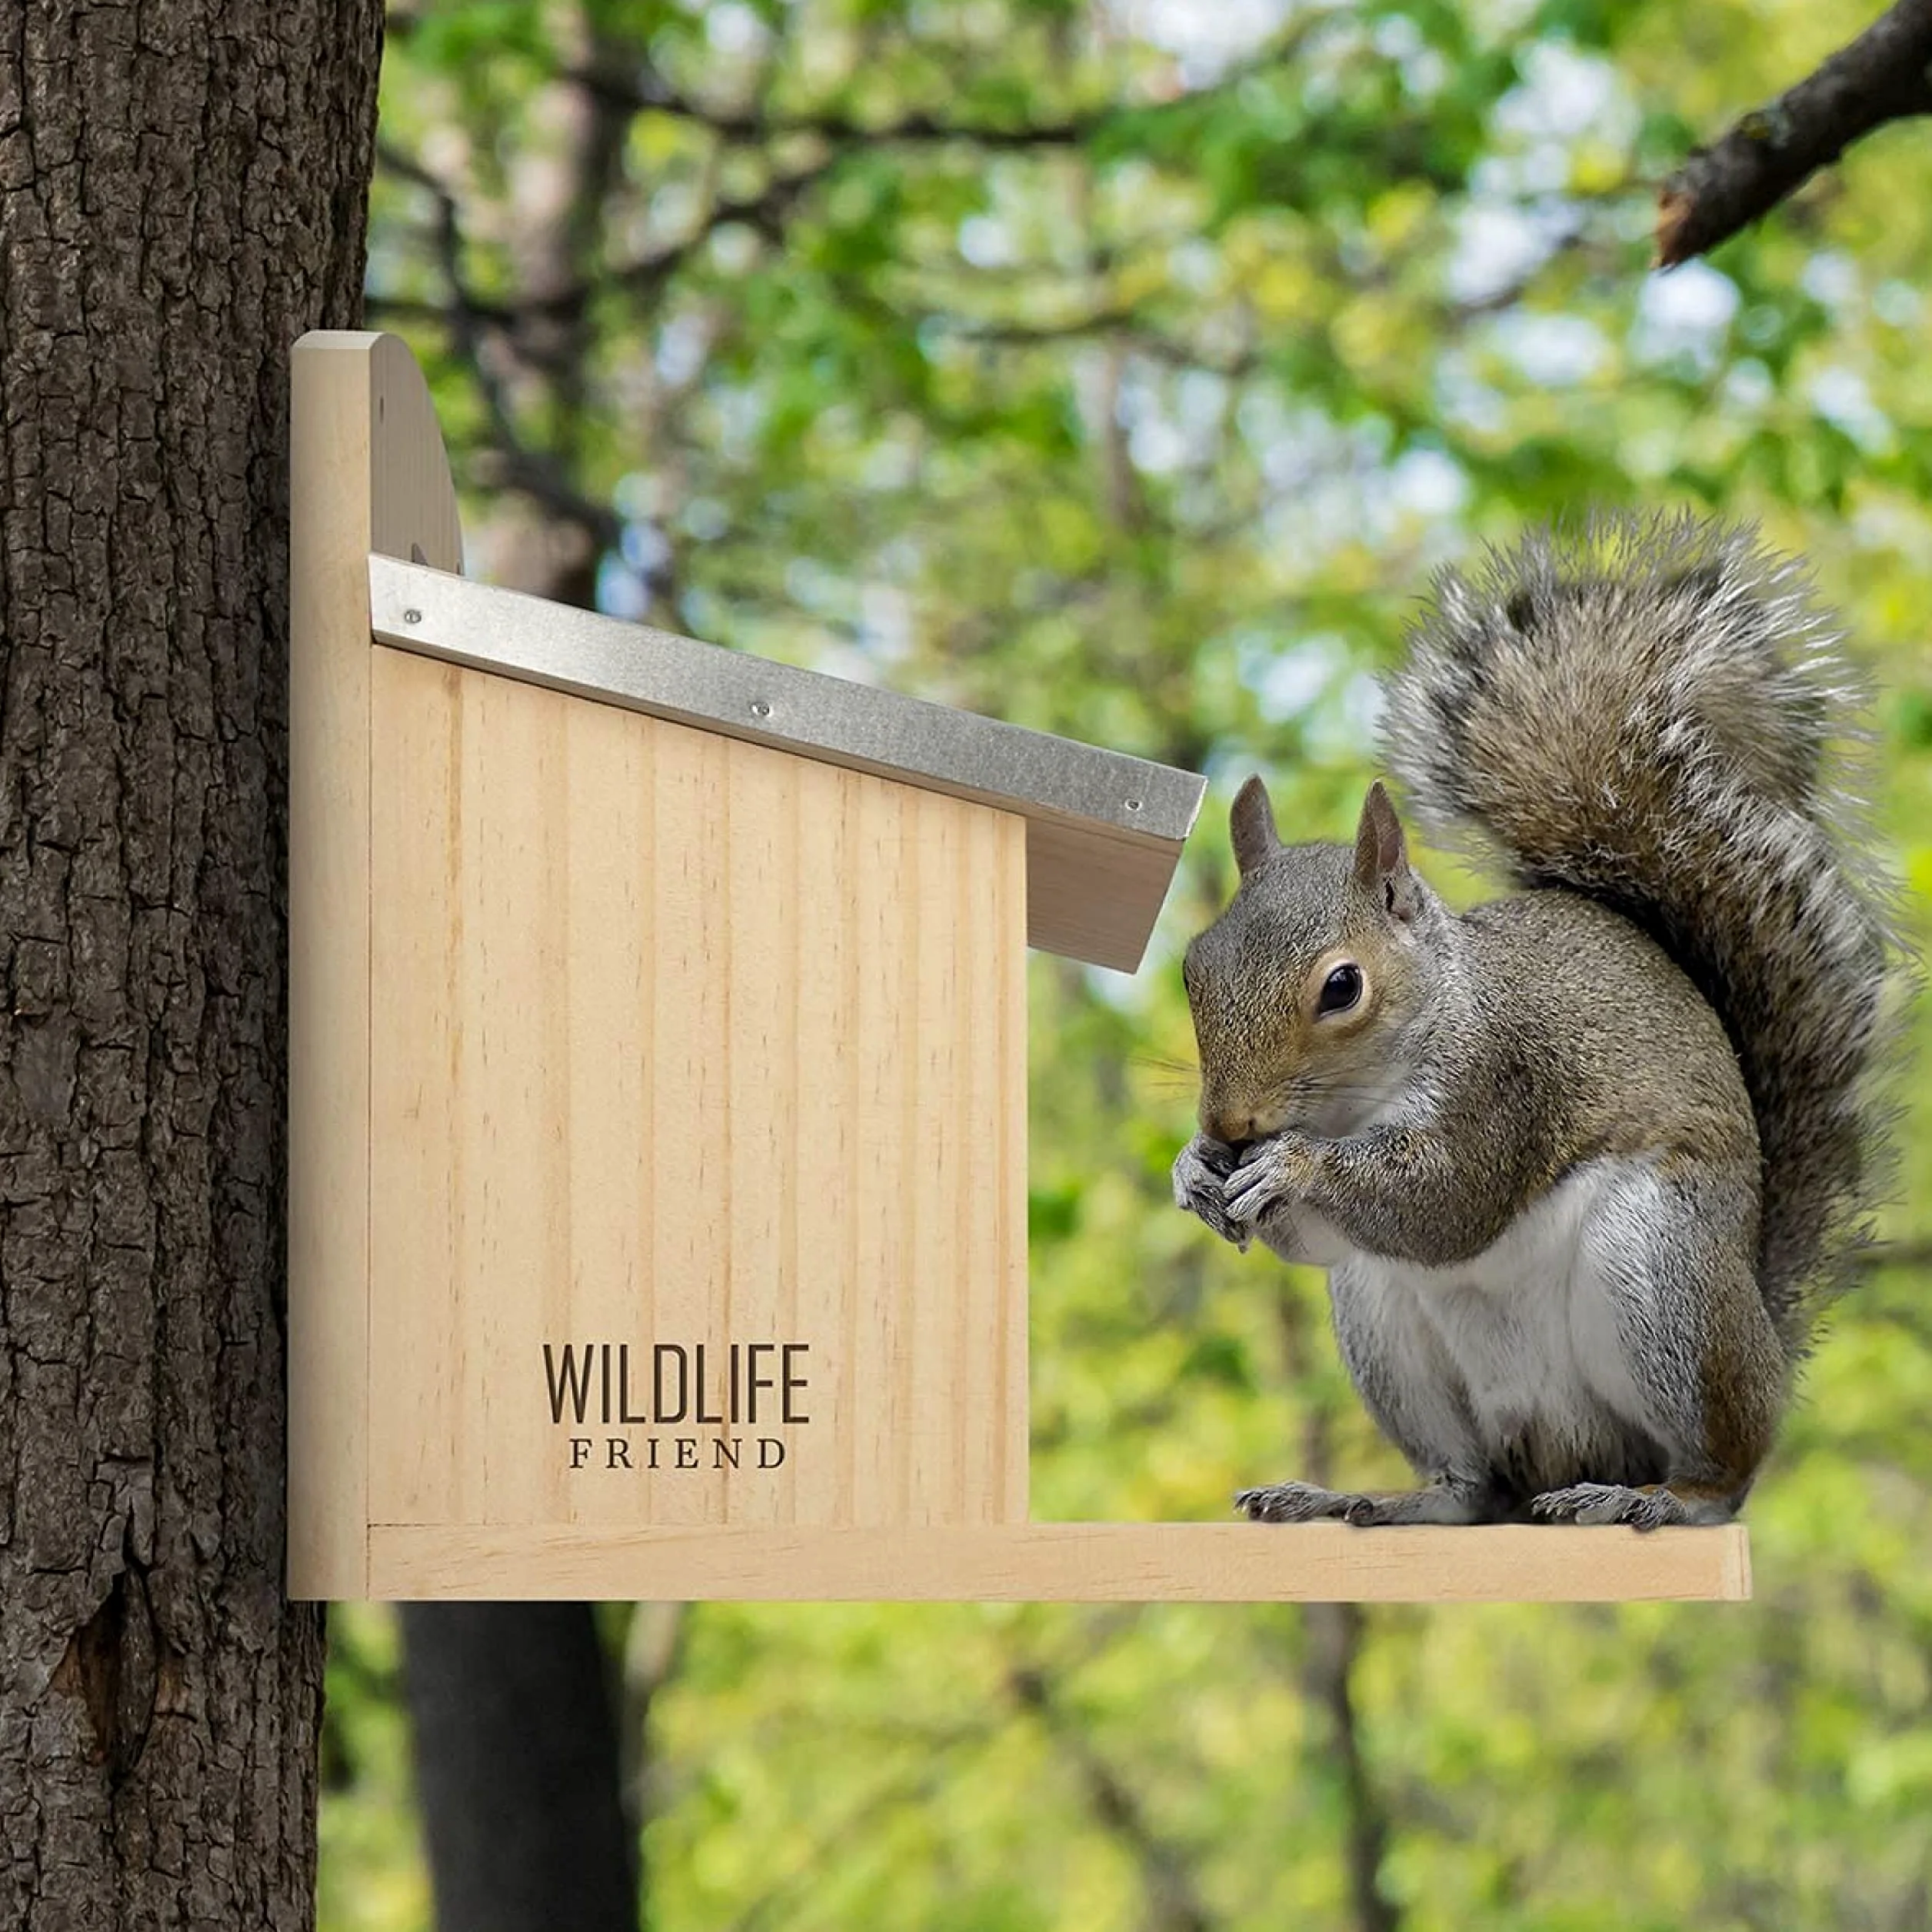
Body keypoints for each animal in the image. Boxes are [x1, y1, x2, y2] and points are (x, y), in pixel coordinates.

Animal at [1172, 513, 1901, 1530]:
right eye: (1192, 964)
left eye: (1341, 987)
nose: (1230, 1123)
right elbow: (1317, 1237)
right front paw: (1194, 1171)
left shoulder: (1504, 1080)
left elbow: (1446, 1201)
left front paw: (1291, 1166)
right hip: (1384, 1325)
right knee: (1469, 1487)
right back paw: (1377, 1499)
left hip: (1660, 1272)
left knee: (1722, 1469)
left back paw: (1657, 1498)